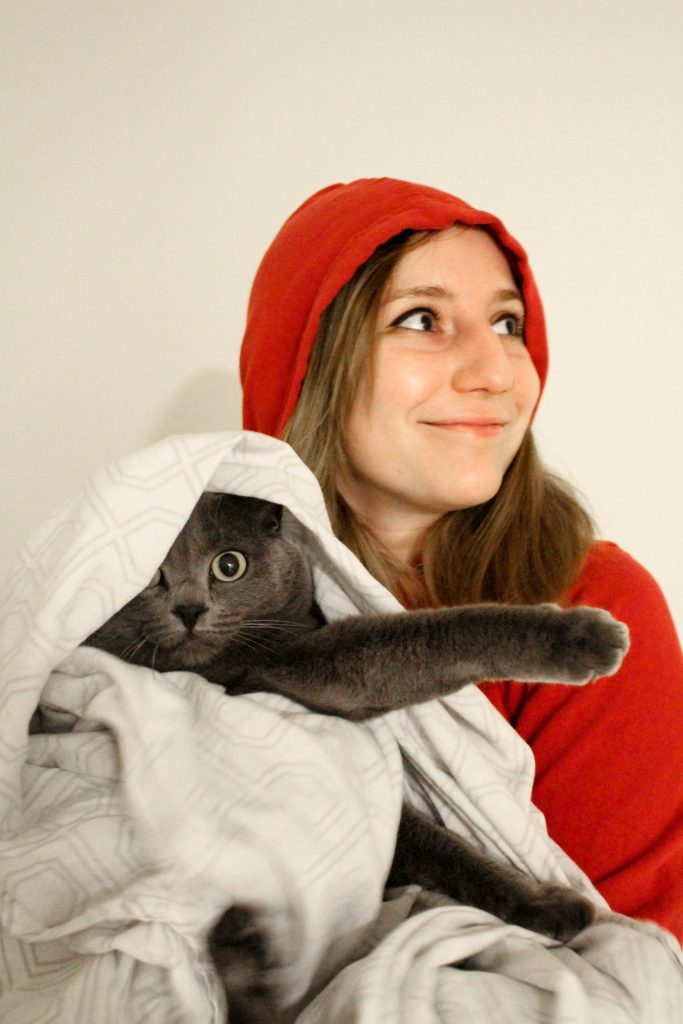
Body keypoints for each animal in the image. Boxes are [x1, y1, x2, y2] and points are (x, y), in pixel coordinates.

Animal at [84, 491, 628, 1012]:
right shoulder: (290, 668)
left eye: (229, 564)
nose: (189, 608)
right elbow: (418, 640)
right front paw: (584, 638)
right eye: (150, 574)